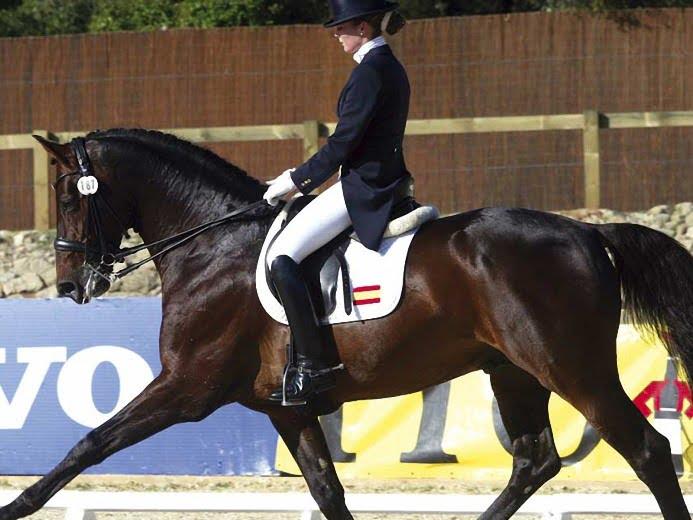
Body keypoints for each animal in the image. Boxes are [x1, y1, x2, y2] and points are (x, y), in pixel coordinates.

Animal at [2, 128, 691, 520]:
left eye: (66, 194)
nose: (70, 287)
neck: (211, 243)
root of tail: (587, 232)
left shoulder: (187, 387)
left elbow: (90, 443)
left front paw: (16, 506)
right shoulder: (284, 408)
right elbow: (327, 492)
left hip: (571, 368)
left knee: (648, 451)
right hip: (513, 372)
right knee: (535, 462)